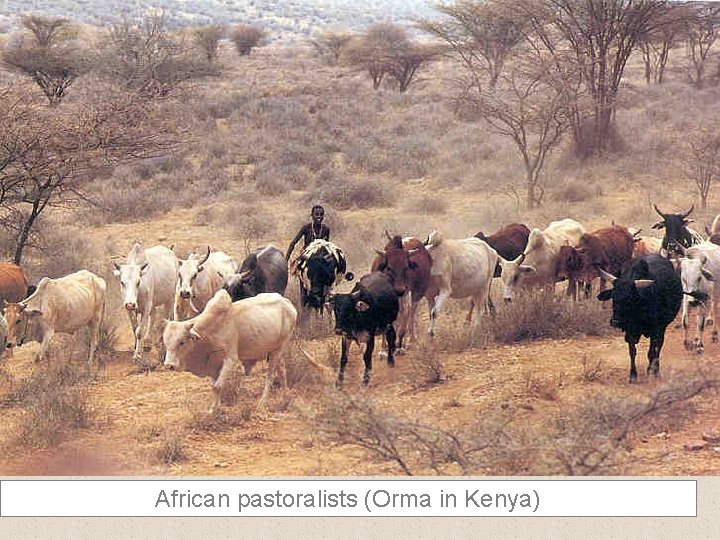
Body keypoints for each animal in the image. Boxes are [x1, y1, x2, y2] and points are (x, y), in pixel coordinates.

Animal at [162, 292, 296, 414]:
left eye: (182, 342)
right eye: (166, 342)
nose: (169, 365)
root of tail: (287, 303)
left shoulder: (230, 359)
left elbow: (217, 386)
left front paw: (214, 410)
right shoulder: (214, 365)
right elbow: (214, 385)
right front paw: (215, 407)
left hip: (277, 351)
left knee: (270, 376)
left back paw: (262, 403)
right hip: (276, 352)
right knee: (282, 372)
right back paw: (285, 399)